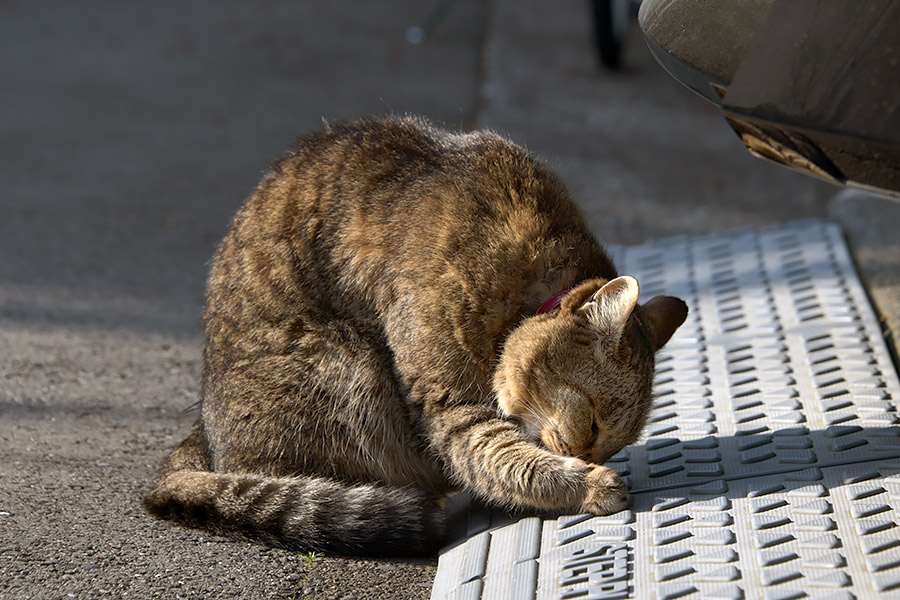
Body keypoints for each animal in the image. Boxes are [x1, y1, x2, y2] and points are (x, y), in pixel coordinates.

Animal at [144, 115, 684, 556]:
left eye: (610, 445)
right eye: (591, 428)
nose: (585, 457)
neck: (533, 282)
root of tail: (204, 434)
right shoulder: (450, 407)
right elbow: (506, 458)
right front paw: (587, 485)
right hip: (349, 365)